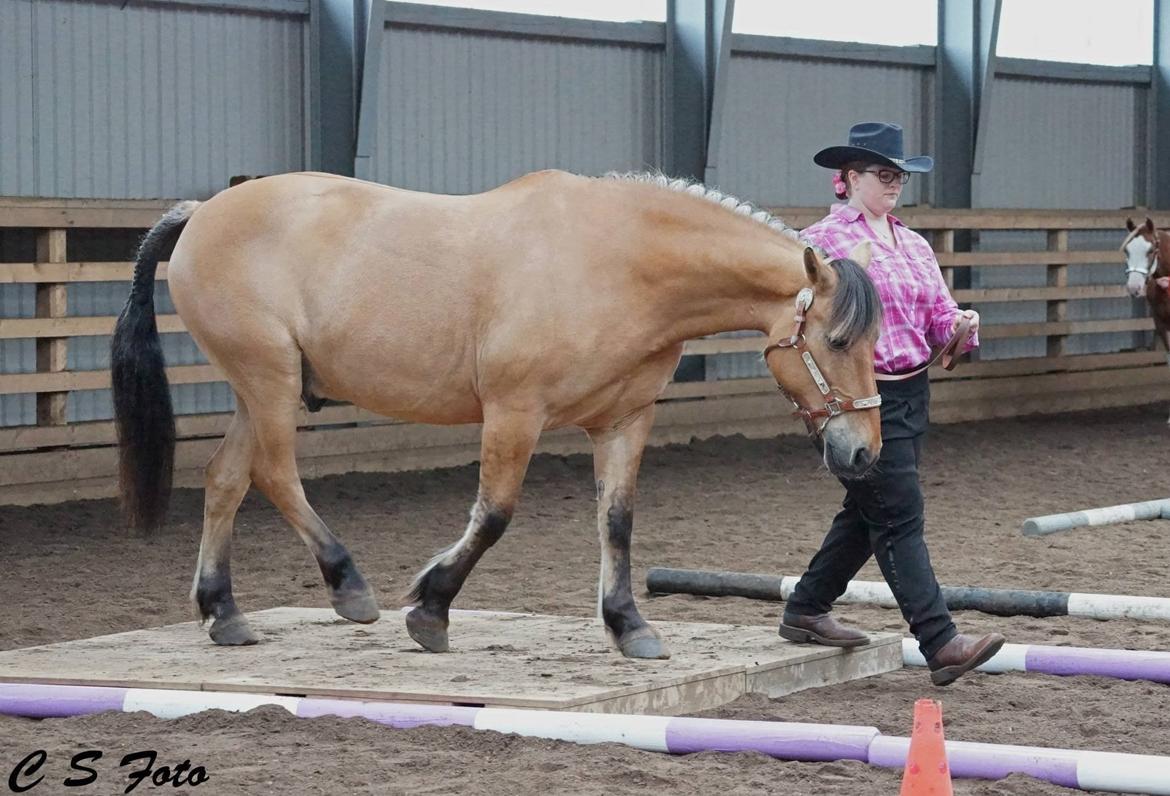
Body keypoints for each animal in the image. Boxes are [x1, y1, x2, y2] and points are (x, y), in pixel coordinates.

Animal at [111, 169, 879, 660]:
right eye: (840, 341)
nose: (865, 452)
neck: (616, 262)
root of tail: (201, 212)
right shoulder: (515, 412)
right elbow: (495, 515)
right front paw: (429, 609)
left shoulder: (625, 421)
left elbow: (617, 522)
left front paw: (628, 626)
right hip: (268, 380)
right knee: (274, 474)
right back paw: (349, 588)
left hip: (260, 388)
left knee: (225, 479)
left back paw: (224, 612)